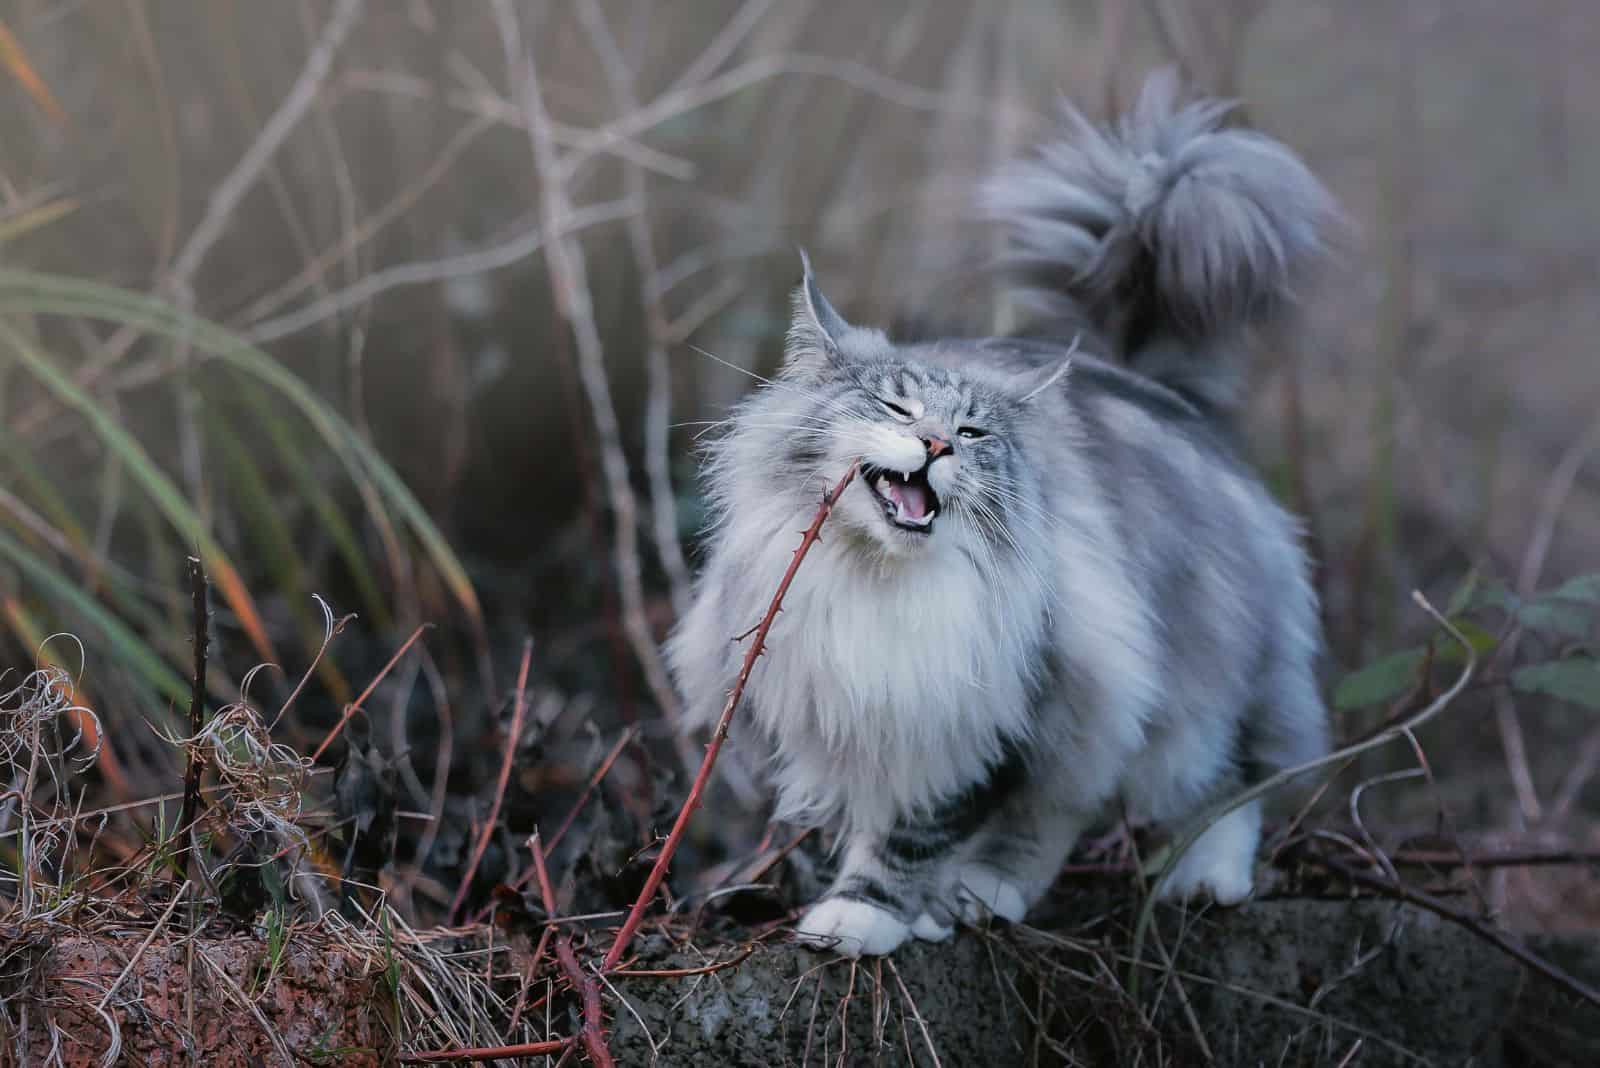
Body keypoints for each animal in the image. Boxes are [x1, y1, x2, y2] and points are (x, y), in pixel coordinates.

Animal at [662, 75, 1337, 959]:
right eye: (896, 406)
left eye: (976, 433)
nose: (937, 442)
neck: (879, 578)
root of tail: (1167, 395)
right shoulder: (869, 710)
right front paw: (907, 912)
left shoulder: (997, 710)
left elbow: (917, 833)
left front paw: (864, 915)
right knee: (1075, 807)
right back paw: (984, 897)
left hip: (1185, 687)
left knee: (1230, 777)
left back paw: (1193, 879)